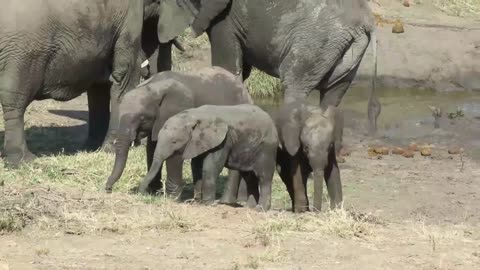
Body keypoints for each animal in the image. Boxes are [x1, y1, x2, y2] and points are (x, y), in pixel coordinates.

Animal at [0, 0, 182, 166]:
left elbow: (99, 89)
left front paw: (92, 148)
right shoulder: (130, 18)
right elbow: (123, 78)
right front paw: (110, 150)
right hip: (23, 50)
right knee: (15, 101)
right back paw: (24, 161)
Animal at [138, 103, 278, 211]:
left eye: (174, 142)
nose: (146, 194)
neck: (194, 116)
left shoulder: (223, 140)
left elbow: (210, 167)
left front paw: (207, 203)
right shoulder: (199, 141)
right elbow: (196, 166)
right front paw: (196, 201)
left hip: (267, 147)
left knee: (263, 176)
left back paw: (261, 209)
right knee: (249, 176)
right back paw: (250, 207)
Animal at [156, 0, 380, 135]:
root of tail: (367, 23)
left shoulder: (226, 19)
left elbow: (227, 66)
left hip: (316, 43)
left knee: (294, 86)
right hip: (345, 51)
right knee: (333, 94)